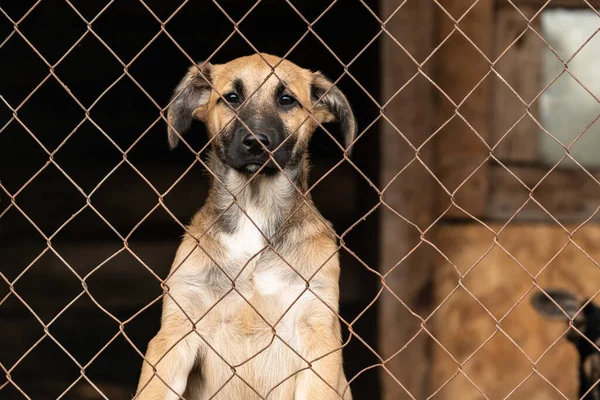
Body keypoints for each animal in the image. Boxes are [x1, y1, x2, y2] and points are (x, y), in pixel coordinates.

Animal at [134, 54, 354, 400]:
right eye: (232, 98)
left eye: (287, 100)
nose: (256, 142)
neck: (255, 211)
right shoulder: (176, 332)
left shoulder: (316, 332)